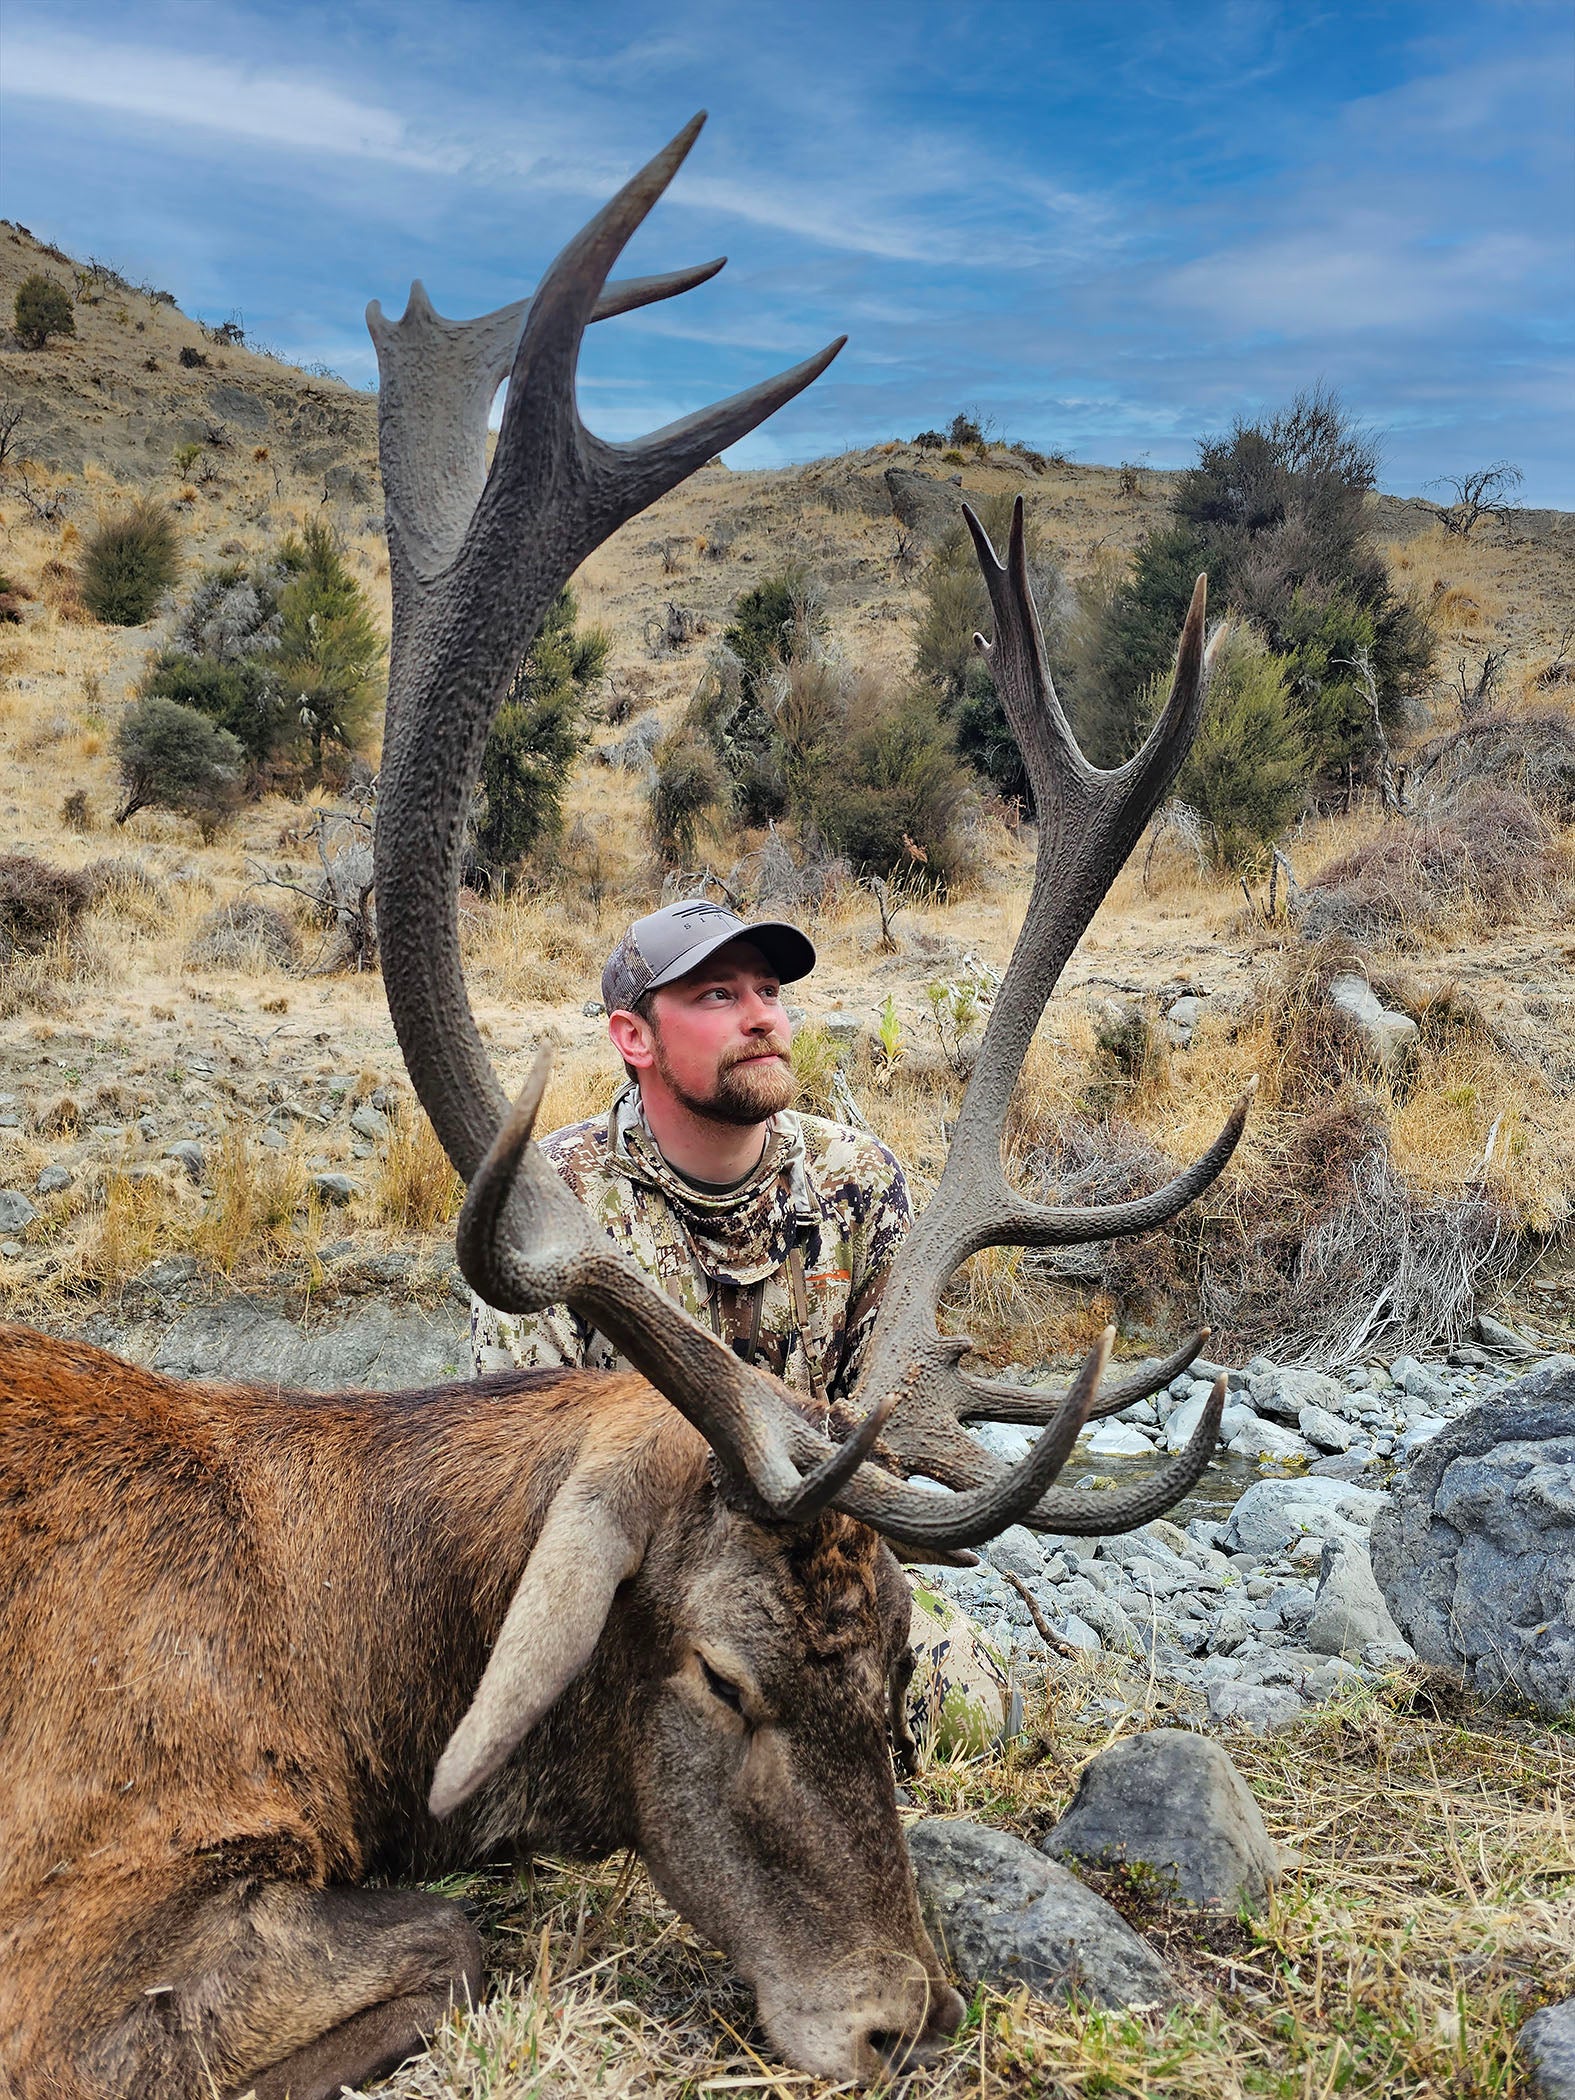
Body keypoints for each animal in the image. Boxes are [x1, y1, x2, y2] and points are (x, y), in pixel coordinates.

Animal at [0, 116, 1251, 2100]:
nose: (897, 2012)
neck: (329, 1660)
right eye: (723, 1675)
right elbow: (447, 1942)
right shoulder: (64, 1919)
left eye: (895, 1672)